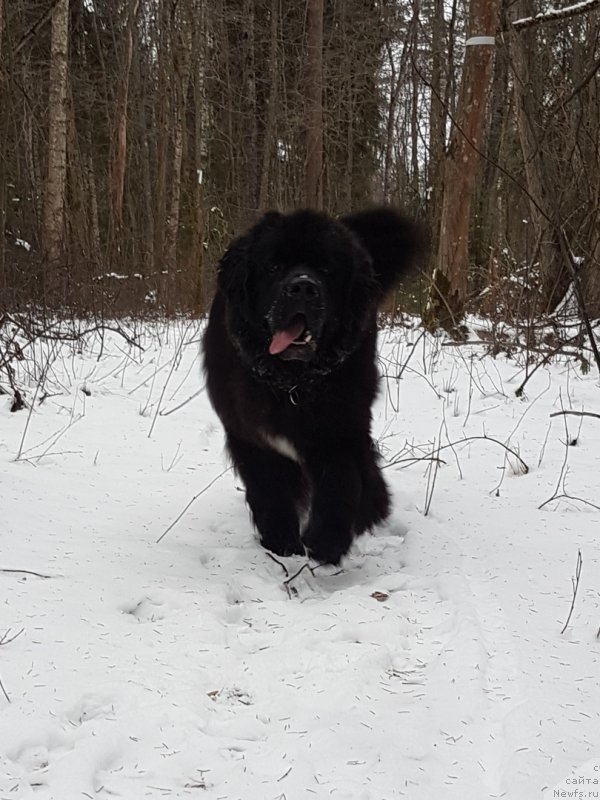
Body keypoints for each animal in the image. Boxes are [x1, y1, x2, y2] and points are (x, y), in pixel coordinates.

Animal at [204, 209, 424, 564]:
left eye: (326, 269)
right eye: (274, 266)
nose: (303, 288)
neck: (292, 383)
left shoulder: (342, 426)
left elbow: (342, 480)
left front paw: (327, 541)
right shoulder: (250, 436)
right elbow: (270, 491)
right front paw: (282, 542)